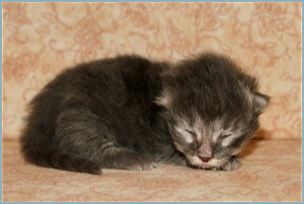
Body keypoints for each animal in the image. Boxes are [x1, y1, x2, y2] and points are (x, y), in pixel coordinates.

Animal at [20, 52, 270, 174]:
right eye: (189, 131)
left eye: (226, 134)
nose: (205, 156)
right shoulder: (160, 144)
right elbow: (178, 155)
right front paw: (223, 163)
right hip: (82, 113)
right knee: (89, 147)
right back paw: (133, 159)